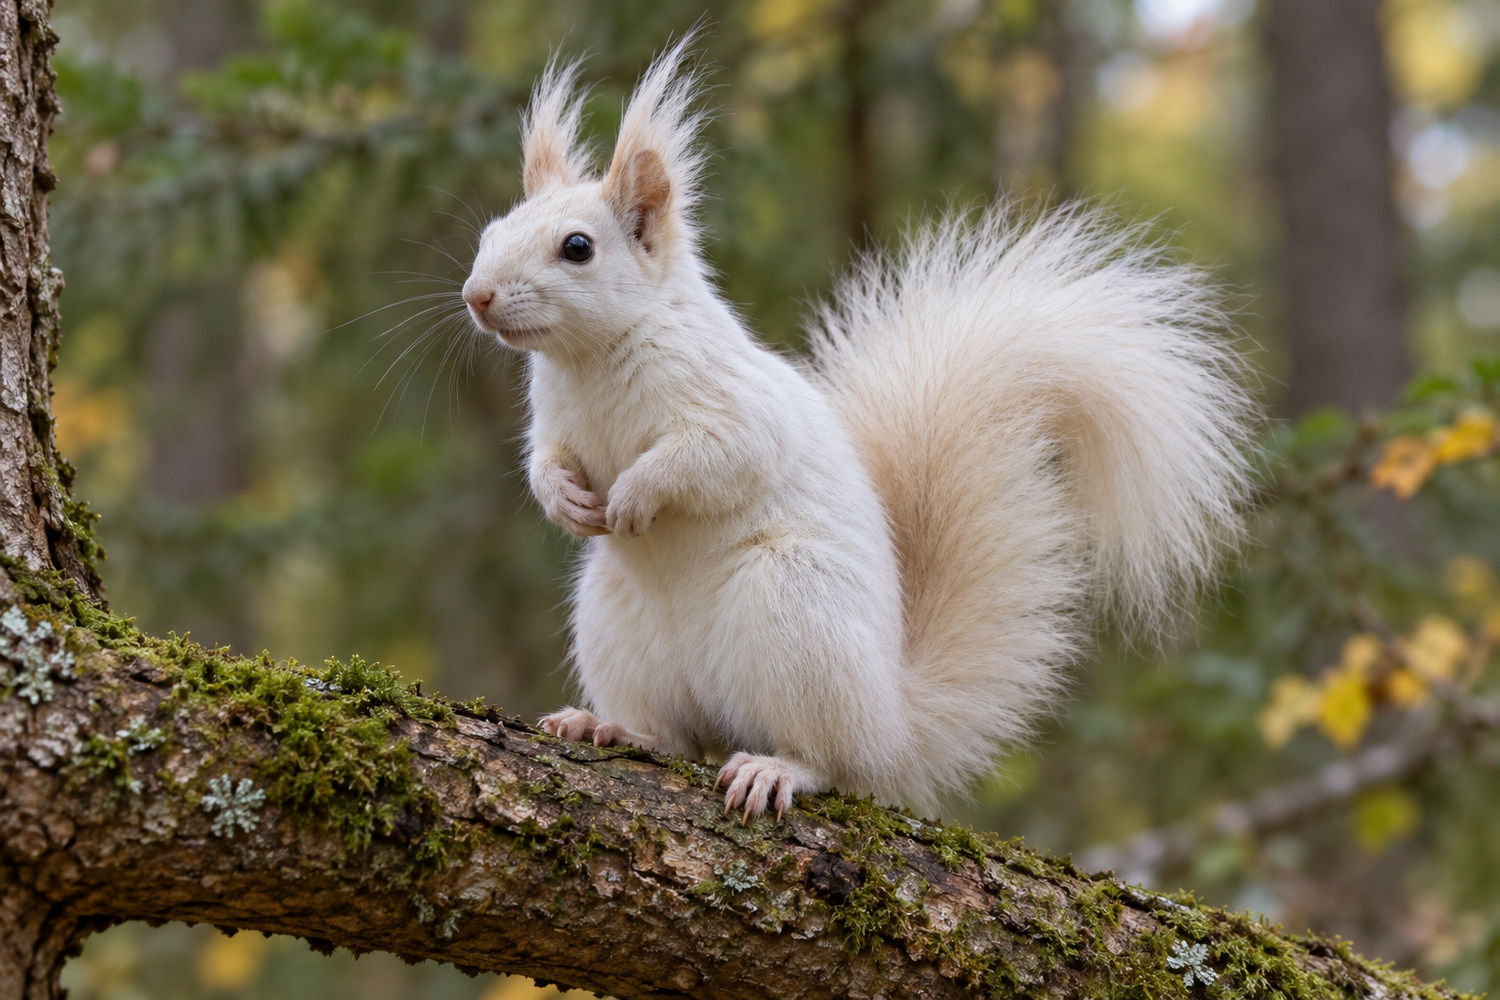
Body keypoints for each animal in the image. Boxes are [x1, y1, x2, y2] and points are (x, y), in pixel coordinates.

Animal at [460, 38, 1258, 821]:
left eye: (578, 247)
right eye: (492, 229)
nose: (477, 296)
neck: (588, 362)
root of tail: (891, 723)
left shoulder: (738, 407)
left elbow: (719, 457)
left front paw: (633, 495)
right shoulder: (554, 422)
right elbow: (544, 461)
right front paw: (566, 500)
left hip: (794, 607)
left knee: (829, 761)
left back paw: (776, 767)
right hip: (617, 624)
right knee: (678, 735)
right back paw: (611, 725)